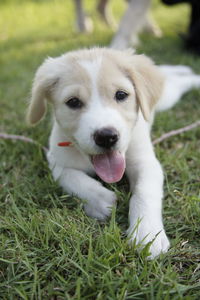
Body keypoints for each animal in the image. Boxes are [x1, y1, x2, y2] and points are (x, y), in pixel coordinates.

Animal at [27, 47, 200, 258]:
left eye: (121, 95)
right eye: (73, 102)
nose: (106, 137)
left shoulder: (146, 162)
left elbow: (144, 192)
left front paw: (147, 234)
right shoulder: (56, 160)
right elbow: (72, 178)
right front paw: (101, 199)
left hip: (167, 97)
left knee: (181, 81)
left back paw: (192, 76)